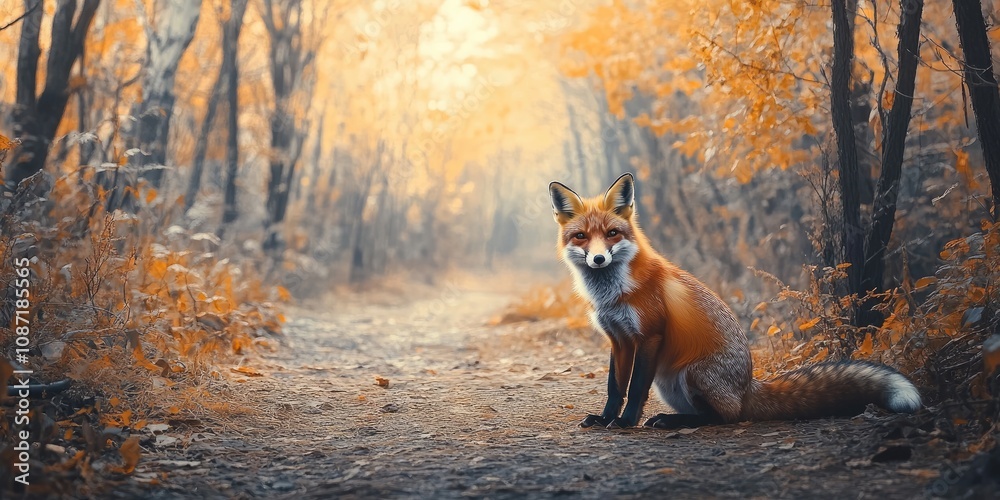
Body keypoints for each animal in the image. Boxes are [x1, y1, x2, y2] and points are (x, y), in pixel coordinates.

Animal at [548, 173, 922, 429]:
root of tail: (747, 387)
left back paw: (673, 422)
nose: (599, 259)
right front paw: (605, 419)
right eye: (581, 236)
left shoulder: (649, 335)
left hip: (693, 373)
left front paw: (625, 423)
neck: (613, 293)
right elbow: (615, 387)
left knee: (724, 417)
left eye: (612, 234)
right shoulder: (620, 339)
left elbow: (636, 388)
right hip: (669, 382)